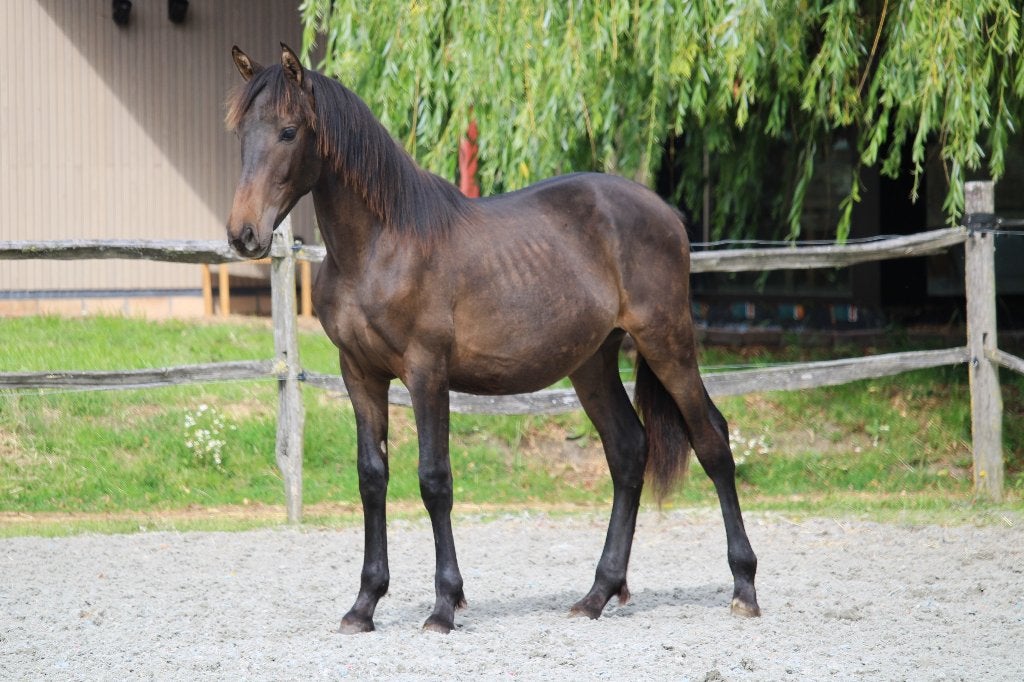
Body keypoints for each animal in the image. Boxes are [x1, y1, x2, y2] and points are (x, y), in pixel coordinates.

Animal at [226, 44, 760, 634]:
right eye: (241, 131)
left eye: (289, 131)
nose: (243, 234)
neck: (380, 247)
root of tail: (667, 213)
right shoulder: (359, 375)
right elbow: (372, 478)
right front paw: (364, 605)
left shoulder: (426, 373)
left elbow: (434, 481)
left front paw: (443, 605)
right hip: (592, 363)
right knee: (627, 451)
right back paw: (597, 594)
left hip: (667, 343)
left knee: (712, 441)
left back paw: (743, 588)